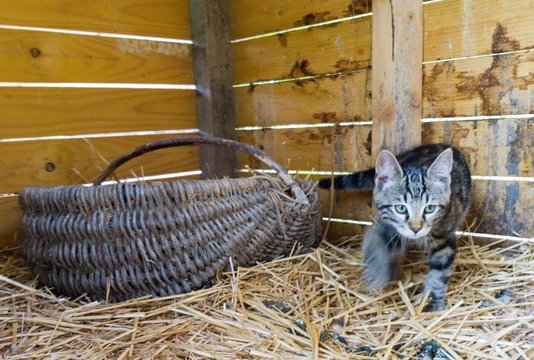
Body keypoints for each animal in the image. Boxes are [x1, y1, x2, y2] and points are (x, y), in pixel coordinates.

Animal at [320, 145, 472, 310]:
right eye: (400, 208)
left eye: (430, 208)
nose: (416, 228)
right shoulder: (385, 224)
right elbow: (375, 241)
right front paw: (378, 271)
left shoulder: (445, 233)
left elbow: (439, 271)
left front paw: (432, 300)